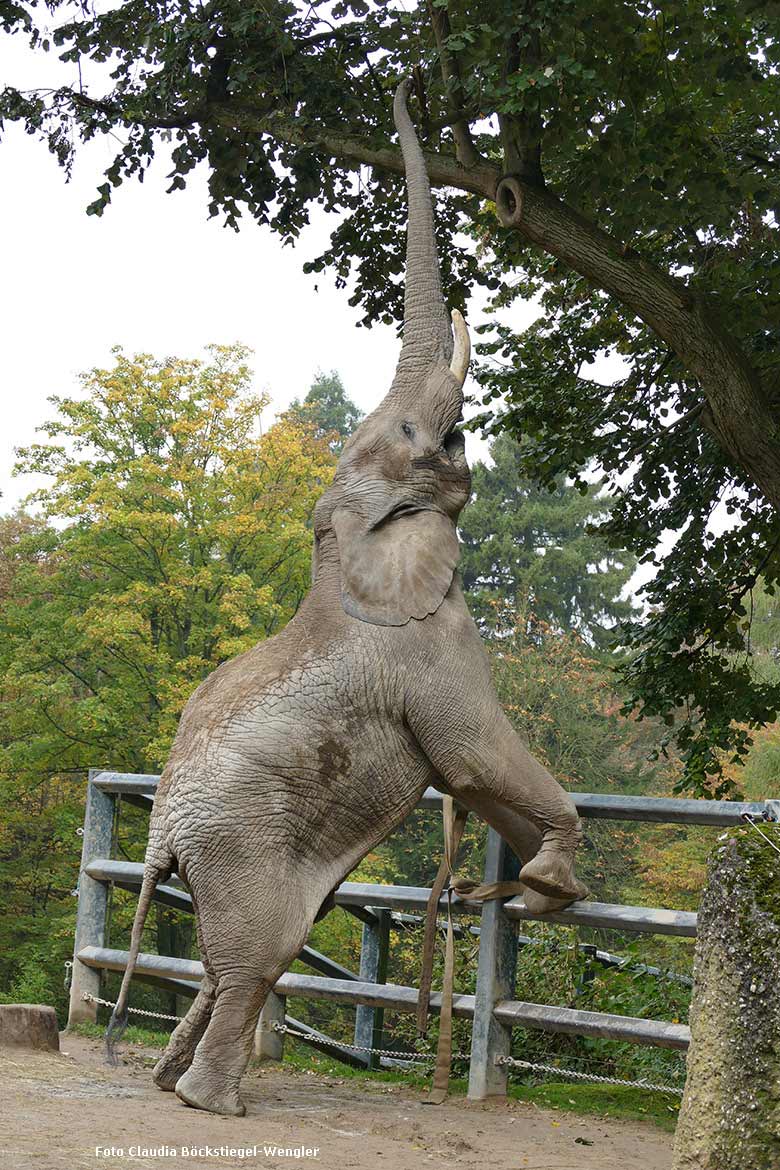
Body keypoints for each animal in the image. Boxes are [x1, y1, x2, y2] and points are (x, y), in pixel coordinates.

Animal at [107, 73, 589, 1113]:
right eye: (434, 436)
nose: (408, 79)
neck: (342, 543)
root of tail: (160, 839)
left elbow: (475, 780)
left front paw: (535, 888)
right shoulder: (435, 648)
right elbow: (473, 760)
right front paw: (551, 879)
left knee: (243, 958)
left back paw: (172, 1081)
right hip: (242, 847)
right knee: (258, 953)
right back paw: (212, 1102)